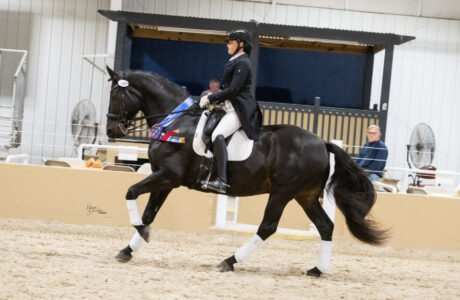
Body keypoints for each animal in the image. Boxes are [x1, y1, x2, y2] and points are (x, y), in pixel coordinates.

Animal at [106, 67, 386, 278]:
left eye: (115, 94)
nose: (111, 130)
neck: (174, 123)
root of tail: (322, 143)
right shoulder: (165, 180)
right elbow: (149, 213)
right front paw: (129, 248)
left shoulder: (167, 176)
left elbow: (130, 192)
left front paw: (141, 234)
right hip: (305, 196)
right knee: (325, 227)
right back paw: (317, 270)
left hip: (282, 192)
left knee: (268, 227)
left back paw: (229, 261)